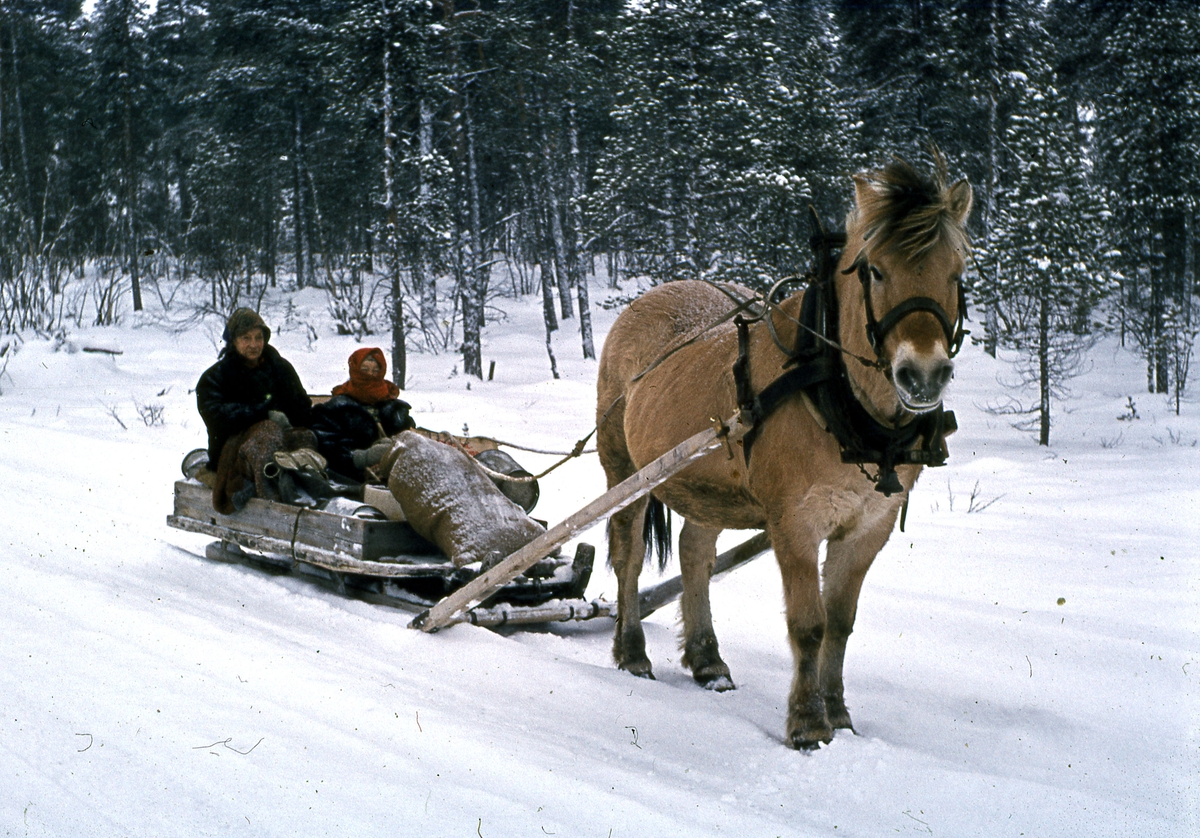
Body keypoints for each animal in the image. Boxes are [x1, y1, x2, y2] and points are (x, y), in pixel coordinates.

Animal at [595, 153, 969, 749]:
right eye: (874, 270)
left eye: (957, 273)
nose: (924, 375)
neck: (838, 396)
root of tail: (651, 295)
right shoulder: (794, 521)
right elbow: (809, 624)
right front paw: (808, 724)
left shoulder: (870, 526)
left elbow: (841, 622)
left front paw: (839, 713)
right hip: (625, 469)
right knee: (628, 555)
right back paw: (631, 653)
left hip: (708, 484)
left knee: (695, 553)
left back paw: (708, 661)